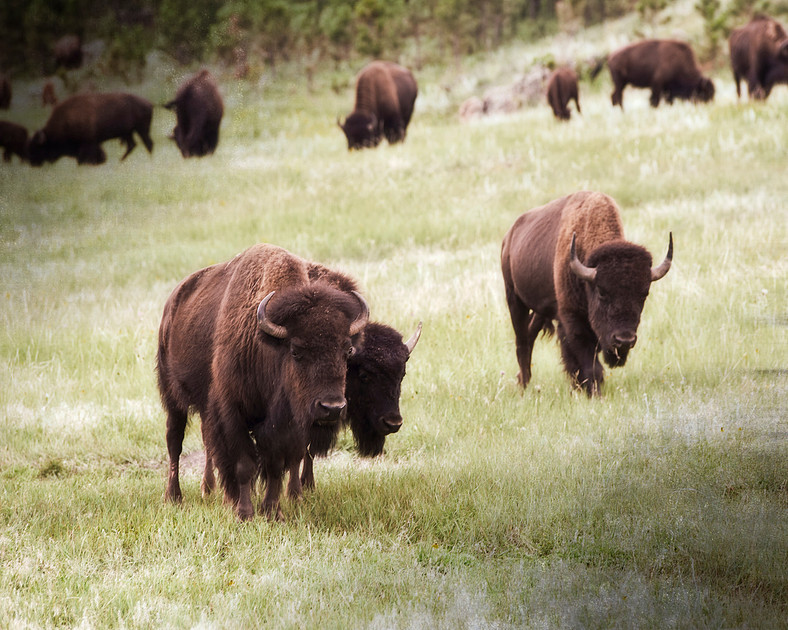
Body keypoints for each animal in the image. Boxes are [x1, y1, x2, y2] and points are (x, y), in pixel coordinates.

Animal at [157, 244, 369, 521]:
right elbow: (243, 464)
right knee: (175, 442)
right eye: (296, 350)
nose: (332, 408)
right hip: (173, 398)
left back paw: (210, 491)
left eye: (347, 351)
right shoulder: (232, 413)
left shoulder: (285, 424)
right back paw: (174, 497)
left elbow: (275, 465)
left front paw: (271, 511)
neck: (267, 350)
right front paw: (245, 513)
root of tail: (173, 301)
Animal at [501, 191, 672, 396]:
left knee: (530, 333)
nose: (624, 340)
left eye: (644, 294)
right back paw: (523, 385)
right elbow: (587, 361)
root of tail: (509, 236)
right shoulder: (573, 320)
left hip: (540, 310)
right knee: (522, 341)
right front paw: (593, 392)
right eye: (602, 292)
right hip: (514, 298)